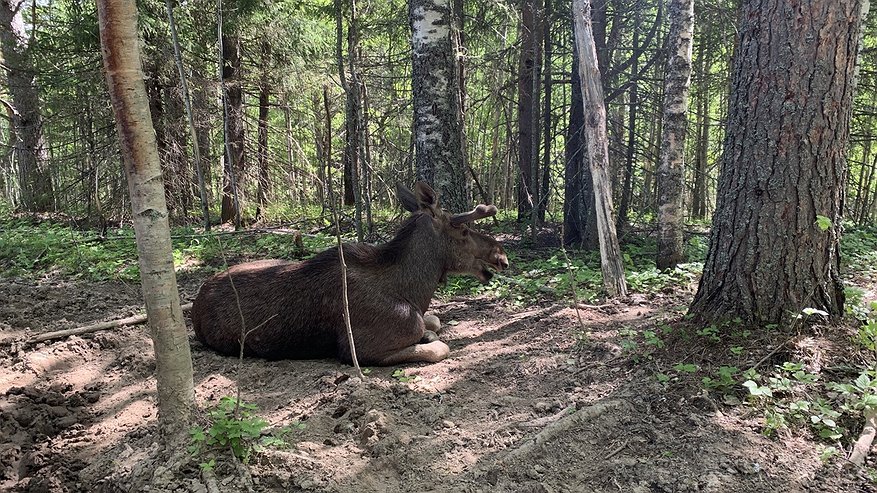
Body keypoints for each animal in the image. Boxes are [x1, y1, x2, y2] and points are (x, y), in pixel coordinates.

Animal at [190, 182, 506, 366]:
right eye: (463, 230)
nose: (500, 255)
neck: (414, 292)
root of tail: (195, 304)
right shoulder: (361, 349)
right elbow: (439, 347)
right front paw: (428, 337)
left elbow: (435, 320)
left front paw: (429, 329)